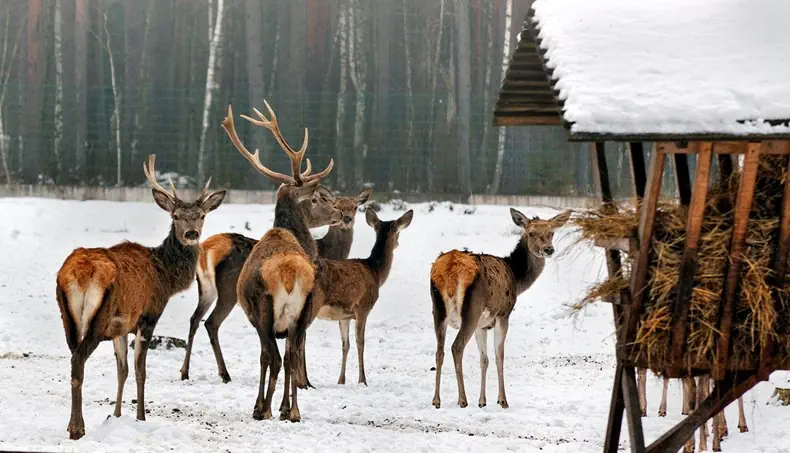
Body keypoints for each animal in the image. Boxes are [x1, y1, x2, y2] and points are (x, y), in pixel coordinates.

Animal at [55, 155, 226, 440]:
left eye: (201, 216)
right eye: (176, 216)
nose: (191, 234)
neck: (165, 278)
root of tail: (79, 274)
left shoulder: (121, 327)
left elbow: (122, 370)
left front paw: (116, 415)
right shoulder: (148, 317)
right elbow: (140, 371)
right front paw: (141, 417)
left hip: (68, 317)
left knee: (73, 361)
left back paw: (71, 424)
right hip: (98, 317)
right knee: (79, 361)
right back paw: (77, 428)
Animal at [179, 183, 371, 383]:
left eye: (355, 207)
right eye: (328, 202)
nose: (345, 217)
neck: (328, 251)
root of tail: (205, 250)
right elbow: (301, 340)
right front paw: (305, 381)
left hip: (207, 290)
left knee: (195, 319)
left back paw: (185, 372)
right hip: (228, 291)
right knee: (211, 323)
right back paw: (224, 374)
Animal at [220, 101, 339, 422]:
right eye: (318, 199)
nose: (340, 212)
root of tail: (288, 274)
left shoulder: (257, 317)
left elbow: (264, 359)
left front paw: (262, 406)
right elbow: (291, 359)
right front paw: (284, 406)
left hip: (264, 310)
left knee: (272, 357)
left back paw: (264, 409)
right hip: (302, 312)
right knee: (291, 357)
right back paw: (293, 411)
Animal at [303, 207, 414, 387]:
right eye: (398, 232)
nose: (398, 243)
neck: (375, 273)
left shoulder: (344, 315)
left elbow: (345, 345)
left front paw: (341, 380)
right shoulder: (363, 307)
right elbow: (360, 342)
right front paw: (363, 380)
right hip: (312, 304)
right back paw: (303, 381)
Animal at [429, 208, 571, 409]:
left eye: (551, 232)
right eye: (531, 233)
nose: (548, 250)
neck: (516, 278)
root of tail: (450, 269)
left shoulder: (482, 325)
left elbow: (484, 359)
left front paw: (482, 401)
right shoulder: (503, 314)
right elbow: (499, 356)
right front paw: (502, 400)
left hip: (437, 309)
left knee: (439, 351)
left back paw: (436, 400)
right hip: (472, 309)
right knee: (456, 347)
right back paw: (462, 400)